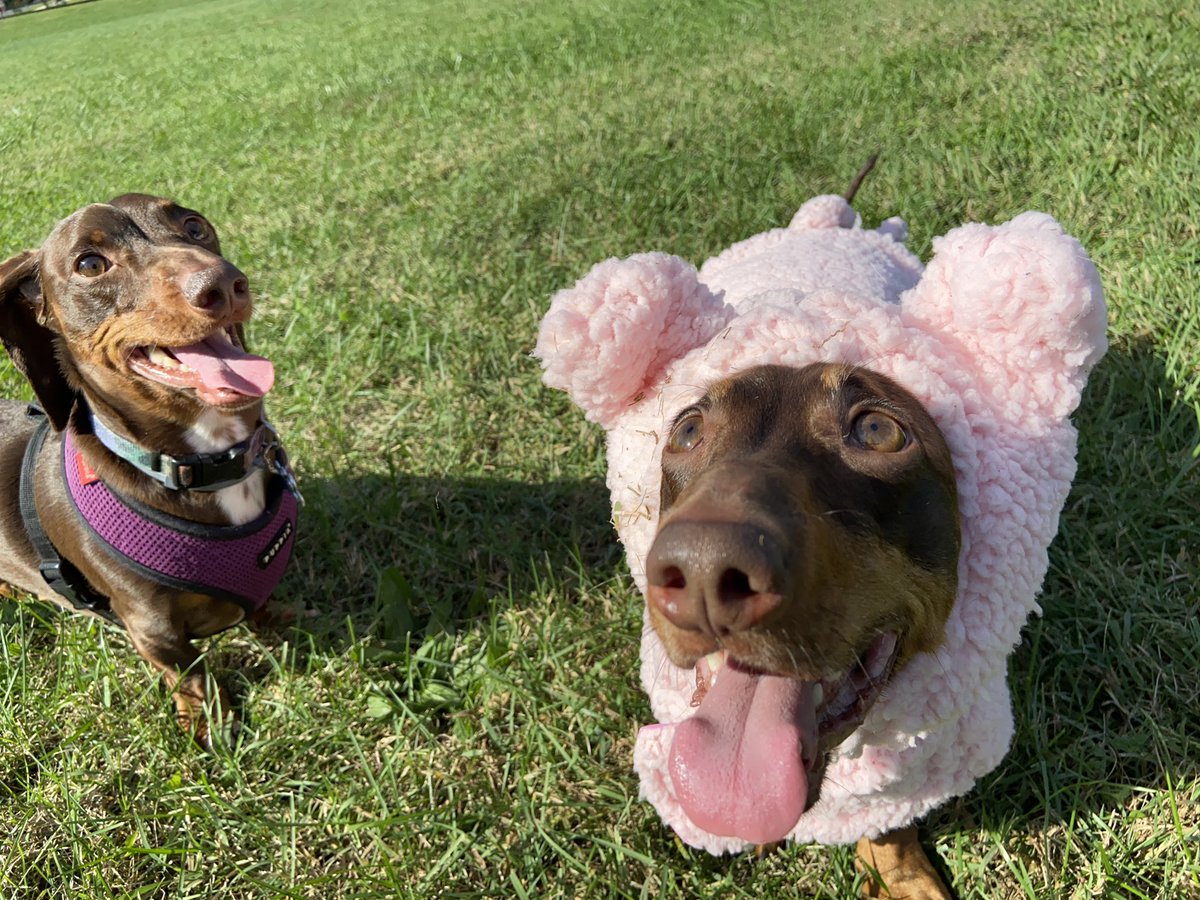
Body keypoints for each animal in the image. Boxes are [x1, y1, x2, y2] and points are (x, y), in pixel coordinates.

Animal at [0, 195, 298, 748]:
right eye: (90, 264)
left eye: (194, 226)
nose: (223, 284)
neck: (206, 465)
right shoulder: (151, 626)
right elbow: (191, 674)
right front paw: (211, 725)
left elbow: (265, 606)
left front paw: (286, 620)